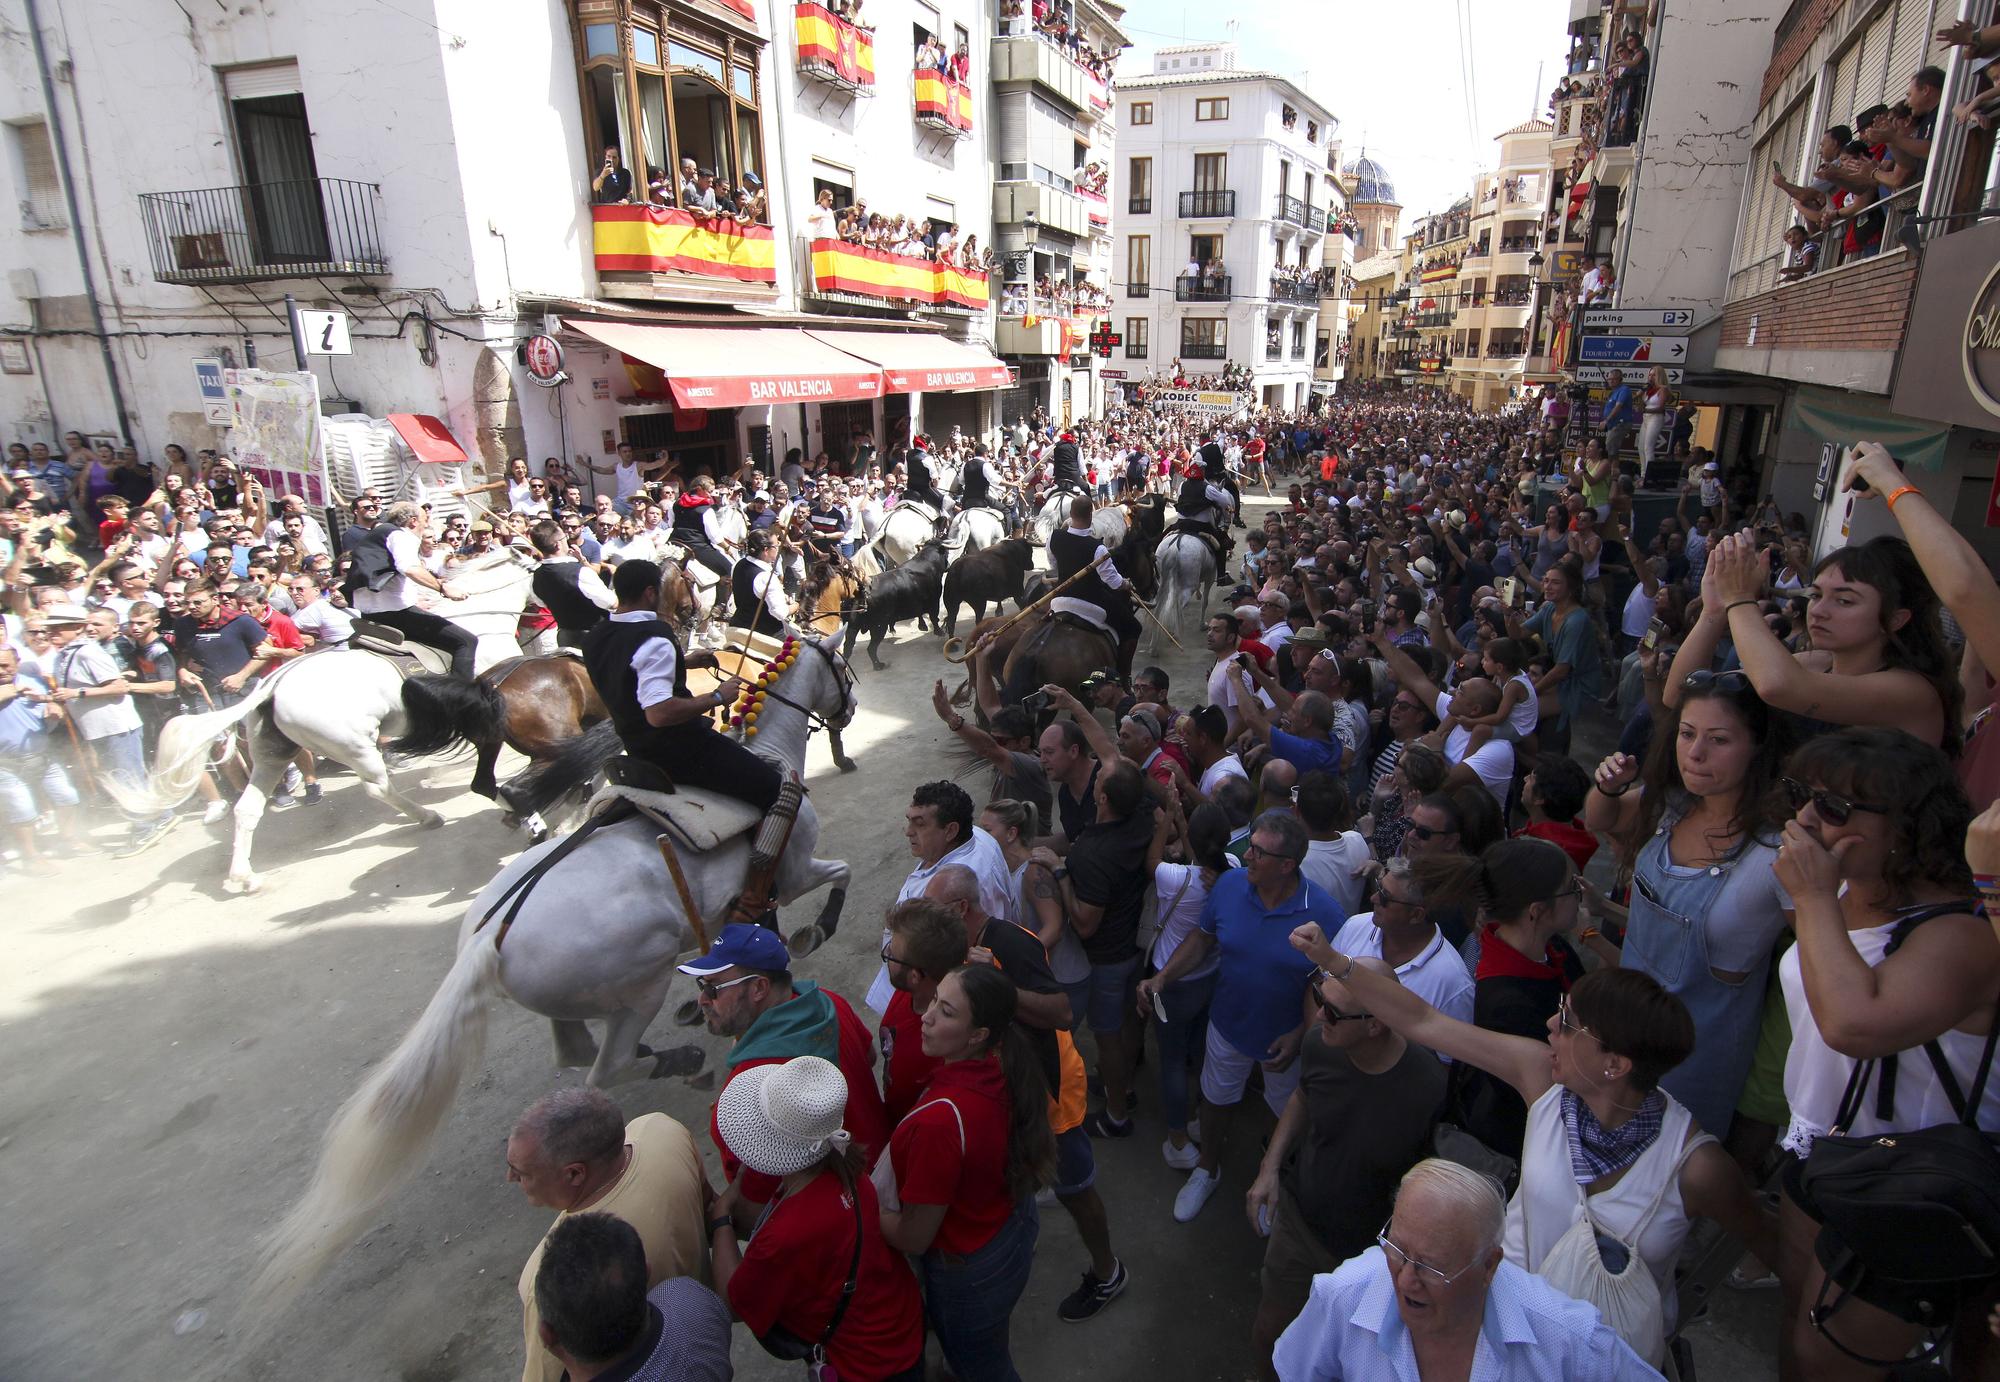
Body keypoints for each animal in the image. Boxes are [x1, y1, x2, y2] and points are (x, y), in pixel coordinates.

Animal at [254, 628, 856, 1312]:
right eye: (842, 667)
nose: (848, 711)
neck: (769, 751)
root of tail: (489, 937)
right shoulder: (797, 868)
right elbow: (834, 882)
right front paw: (815, 931)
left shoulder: (749, 901)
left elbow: (754, 934)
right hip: (640, 982)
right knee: (605, 1065)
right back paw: (680, 1060)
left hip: (572, 998)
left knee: (575, 1051)